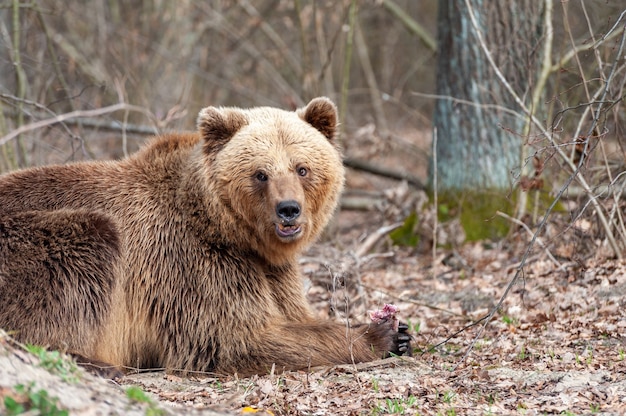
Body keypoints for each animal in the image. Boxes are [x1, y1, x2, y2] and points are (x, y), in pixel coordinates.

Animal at [0, 97, 410, 376]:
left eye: (302, 168)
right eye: (260, 173)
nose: (289, 209)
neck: (233, 231)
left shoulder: (272, 271)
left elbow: (294, 313)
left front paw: (401, 330)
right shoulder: (191, 263)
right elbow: (235, 339)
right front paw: (378, 334)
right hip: (34, 240)